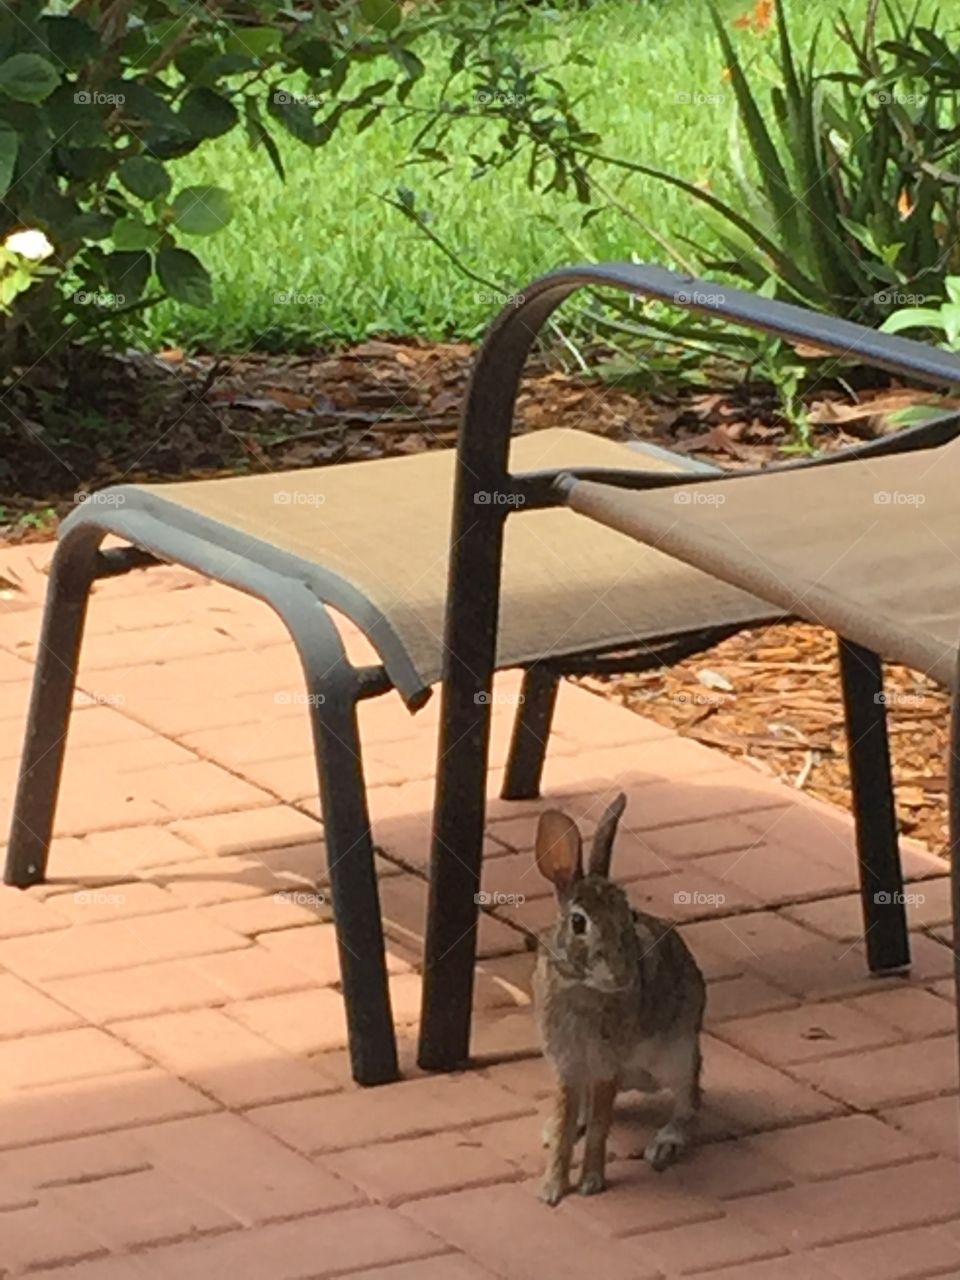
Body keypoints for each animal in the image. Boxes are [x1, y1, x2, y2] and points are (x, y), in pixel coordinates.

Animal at [532, 792, 706, 1206]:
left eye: (630, 915)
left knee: (689, 1102)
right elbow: (568, 1128)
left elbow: (599, 1129)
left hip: (679, 1056)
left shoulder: (606, 1066)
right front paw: (552, 1190)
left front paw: (591, 1184)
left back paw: (664, 1145)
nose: (624, 975)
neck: (584, 987)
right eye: (579, 922)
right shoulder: (568, 1066)